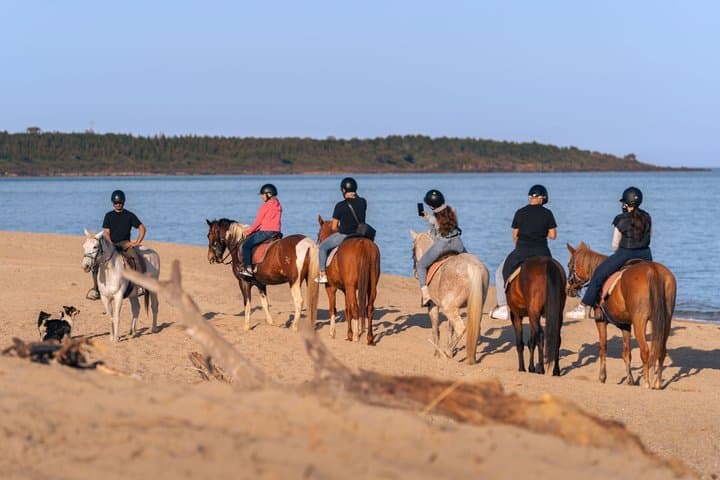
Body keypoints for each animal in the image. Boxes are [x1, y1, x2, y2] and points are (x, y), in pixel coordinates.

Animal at [317, 216, 381, 345]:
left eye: (318, 233)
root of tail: (363, 244)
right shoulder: (346, 289)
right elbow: (347, 310)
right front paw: (349, 334)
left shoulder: (331, 287)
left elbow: (333, 309)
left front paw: (333, 333)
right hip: (371, 287)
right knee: (369, 308)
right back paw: (369, 338)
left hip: (351, 287)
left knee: (356, 308)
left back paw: (356, 336)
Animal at [409, 230, 489, 364]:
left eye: (412, 251)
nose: (414, 272)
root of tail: (473, 266)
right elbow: (450, 329)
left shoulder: (433, 306)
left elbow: (435, 329)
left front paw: (437, 353)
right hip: (474, 307)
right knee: (475, 329)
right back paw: (470, 356)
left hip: (449, 309)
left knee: (461, 329)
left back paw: (446, 352)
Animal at [566, 242, 677, 389]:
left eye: (569, 265)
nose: (569, 289)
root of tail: (653, 270)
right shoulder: (625, 325)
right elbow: (626, 353)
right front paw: (630, 380)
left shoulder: (601, 322)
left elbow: (603, 348)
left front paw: (602, 377)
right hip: (666, 321)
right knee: (661, 351)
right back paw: (657, 383)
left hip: (639, 322)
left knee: (645, 351)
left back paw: (647, 383)